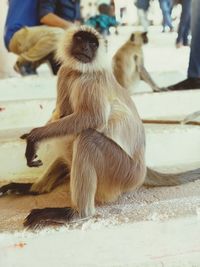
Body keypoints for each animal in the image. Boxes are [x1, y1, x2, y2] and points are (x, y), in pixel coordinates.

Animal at [0, 26, 199, 229]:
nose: (85, 48)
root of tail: (142, 168)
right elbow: (62, 112)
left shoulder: (90, 80)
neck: (79, 71)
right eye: (80, 39)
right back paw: (35, 189)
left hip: (122, 172)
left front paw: (34, 137)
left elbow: (93, 118)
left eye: (92, 43)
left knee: (86, 138)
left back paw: (77, 213)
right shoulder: (65, 72)